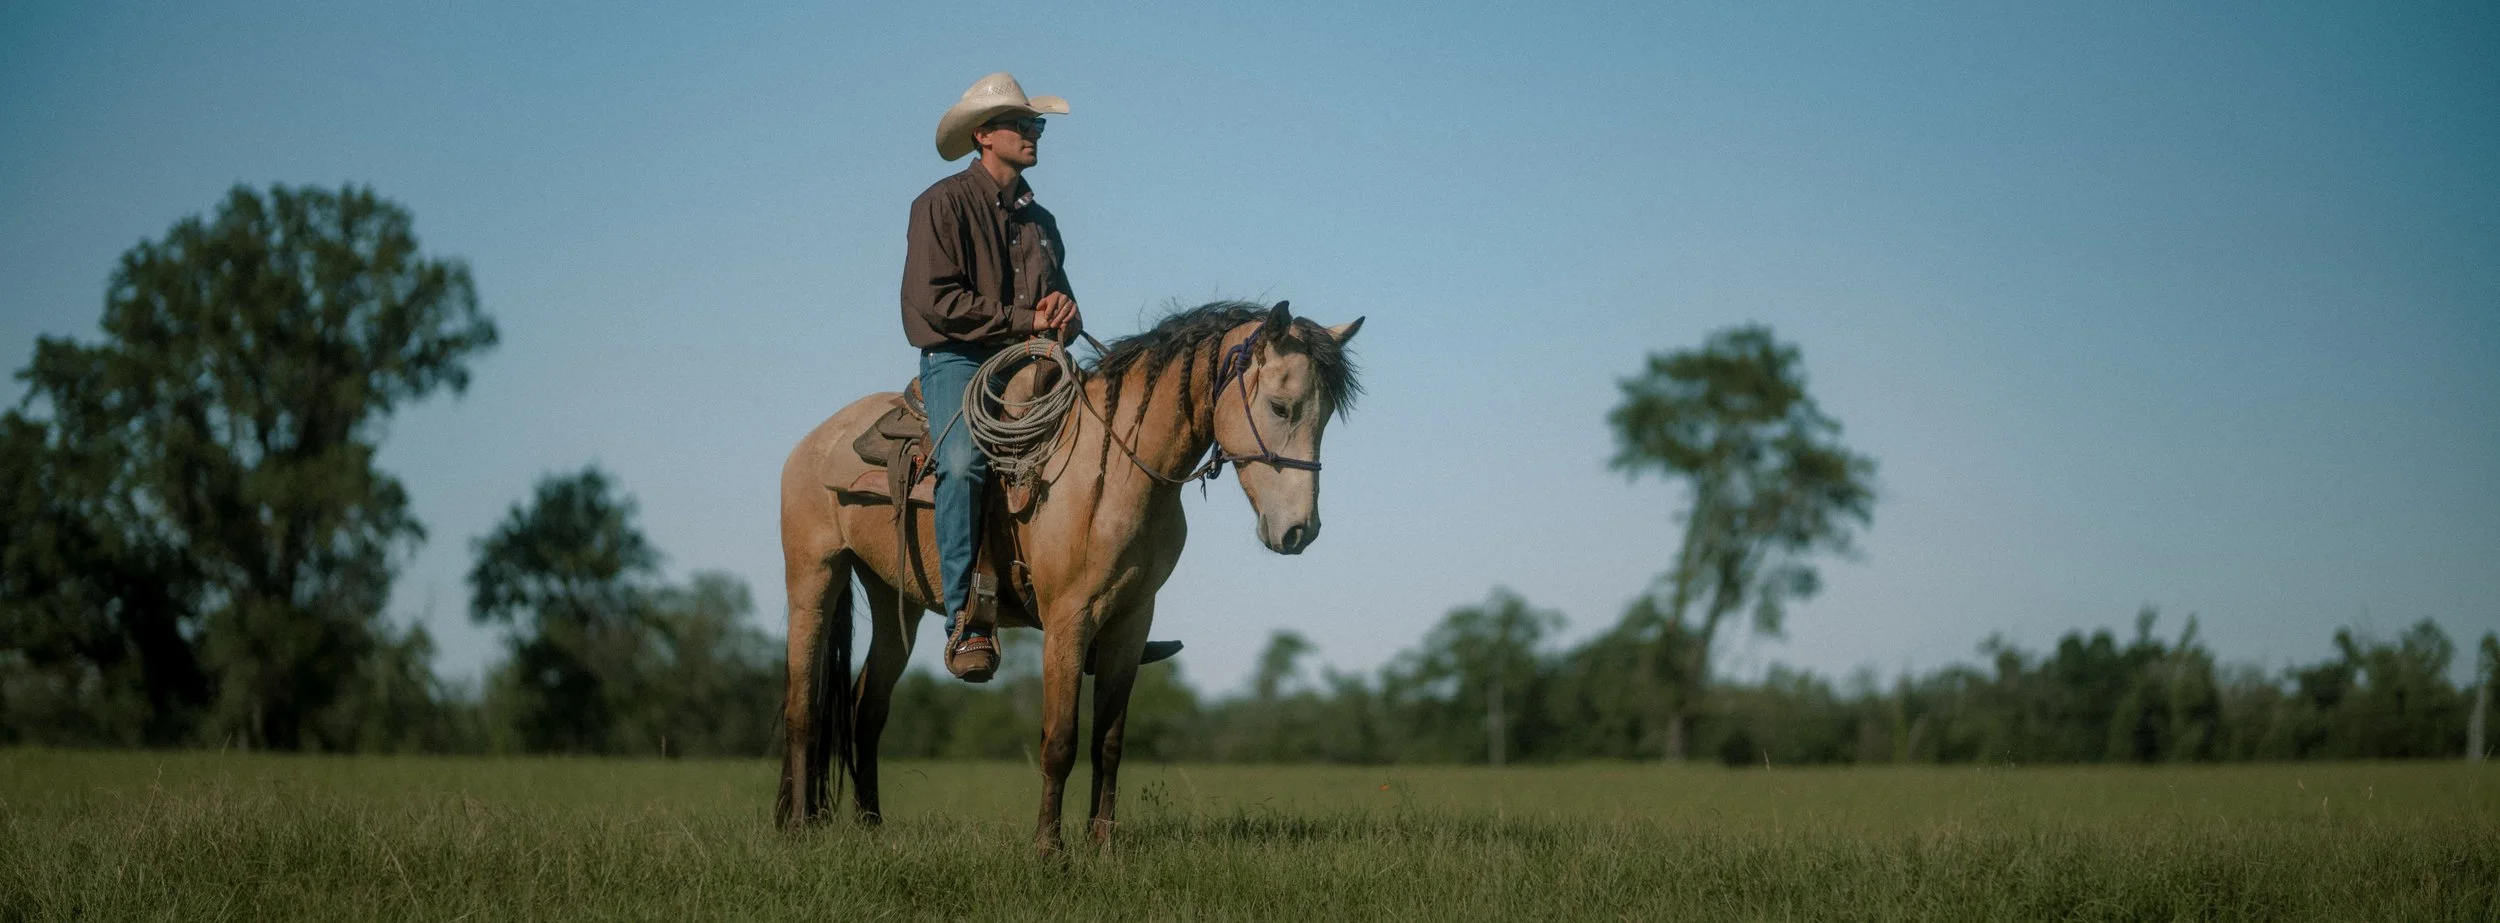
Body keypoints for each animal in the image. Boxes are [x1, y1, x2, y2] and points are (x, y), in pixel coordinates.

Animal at [775, 300, 1363, 853]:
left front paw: (1103, 844)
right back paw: (799, 827)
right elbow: (1059, 739)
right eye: (1280, 406)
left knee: (865, 709)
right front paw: (1049, 849)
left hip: (894, 600)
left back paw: (870, 825)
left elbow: (1109, 741)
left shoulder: (1131, 621)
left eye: (1324, 418)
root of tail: (815, 441)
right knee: (804, 708)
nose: (1299, 531)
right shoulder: (1067, 620)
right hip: (813, 580)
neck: (1110, 468)